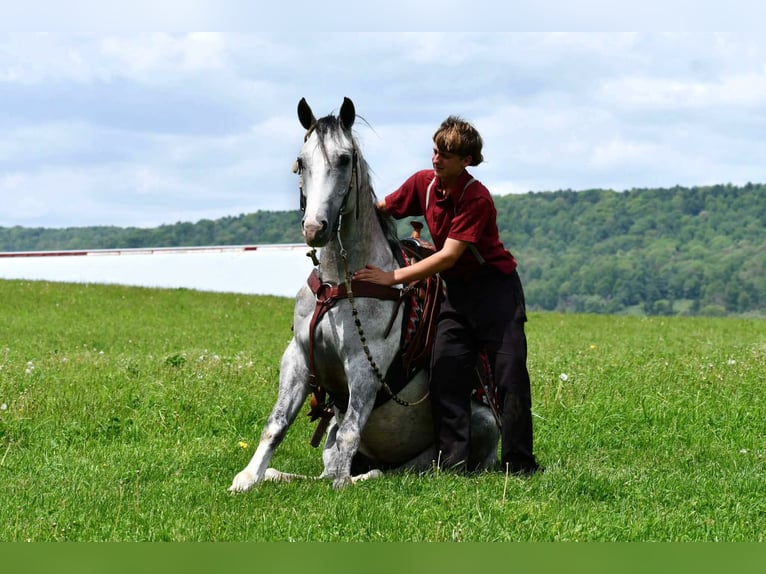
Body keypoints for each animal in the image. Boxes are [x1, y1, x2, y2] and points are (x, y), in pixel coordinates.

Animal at [229, 97, 499, 491]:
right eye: (302, 160)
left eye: (344, 159)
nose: (315, 228)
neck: (338, 284)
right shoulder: (297, 358)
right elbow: (275, 424)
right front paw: (249, 477)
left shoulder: (364, 368)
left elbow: (349, 436)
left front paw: (339, 487)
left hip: (477, 428)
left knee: (401, 470)